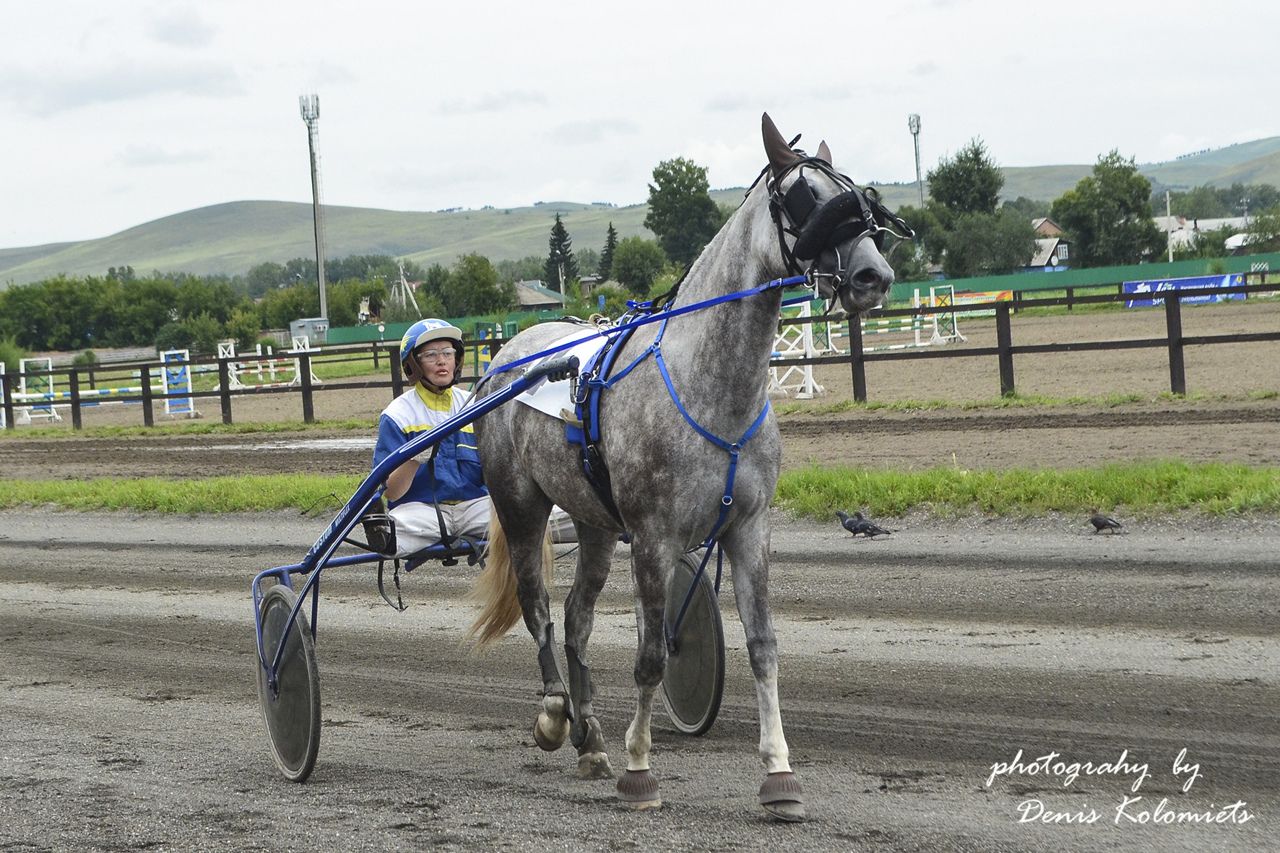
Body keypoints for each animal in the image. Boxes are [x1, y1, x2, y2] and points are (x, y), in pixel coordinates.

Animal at [471, 112, 901, 819]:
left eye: (854, 197)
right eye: (802, 197)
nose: (874, 275)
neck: (712, 388)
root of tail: (508, 356)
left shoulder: (749, 528)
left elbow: (762, 647)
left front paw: (779, 774)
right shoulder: (653, 538)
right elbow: (650, 654)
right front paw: (639, 769)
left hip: (594, 523)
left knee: (577, 619)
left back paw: (590, 739)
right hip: (521, 504)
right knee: (538, 610)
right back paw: (557, 715)